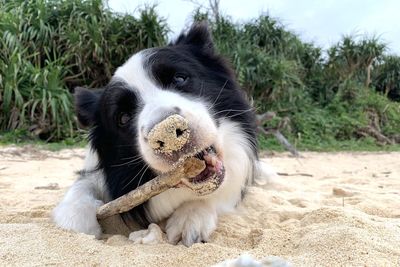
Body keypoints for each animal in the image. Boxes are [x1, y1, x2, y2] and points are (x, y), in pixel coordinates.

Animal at [53, 23, 272, 247]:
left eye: (180, 78)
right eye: (123, 117)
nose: (168, 134)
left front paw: (190, 216)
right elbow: (81, 186)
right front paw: (73, 223)